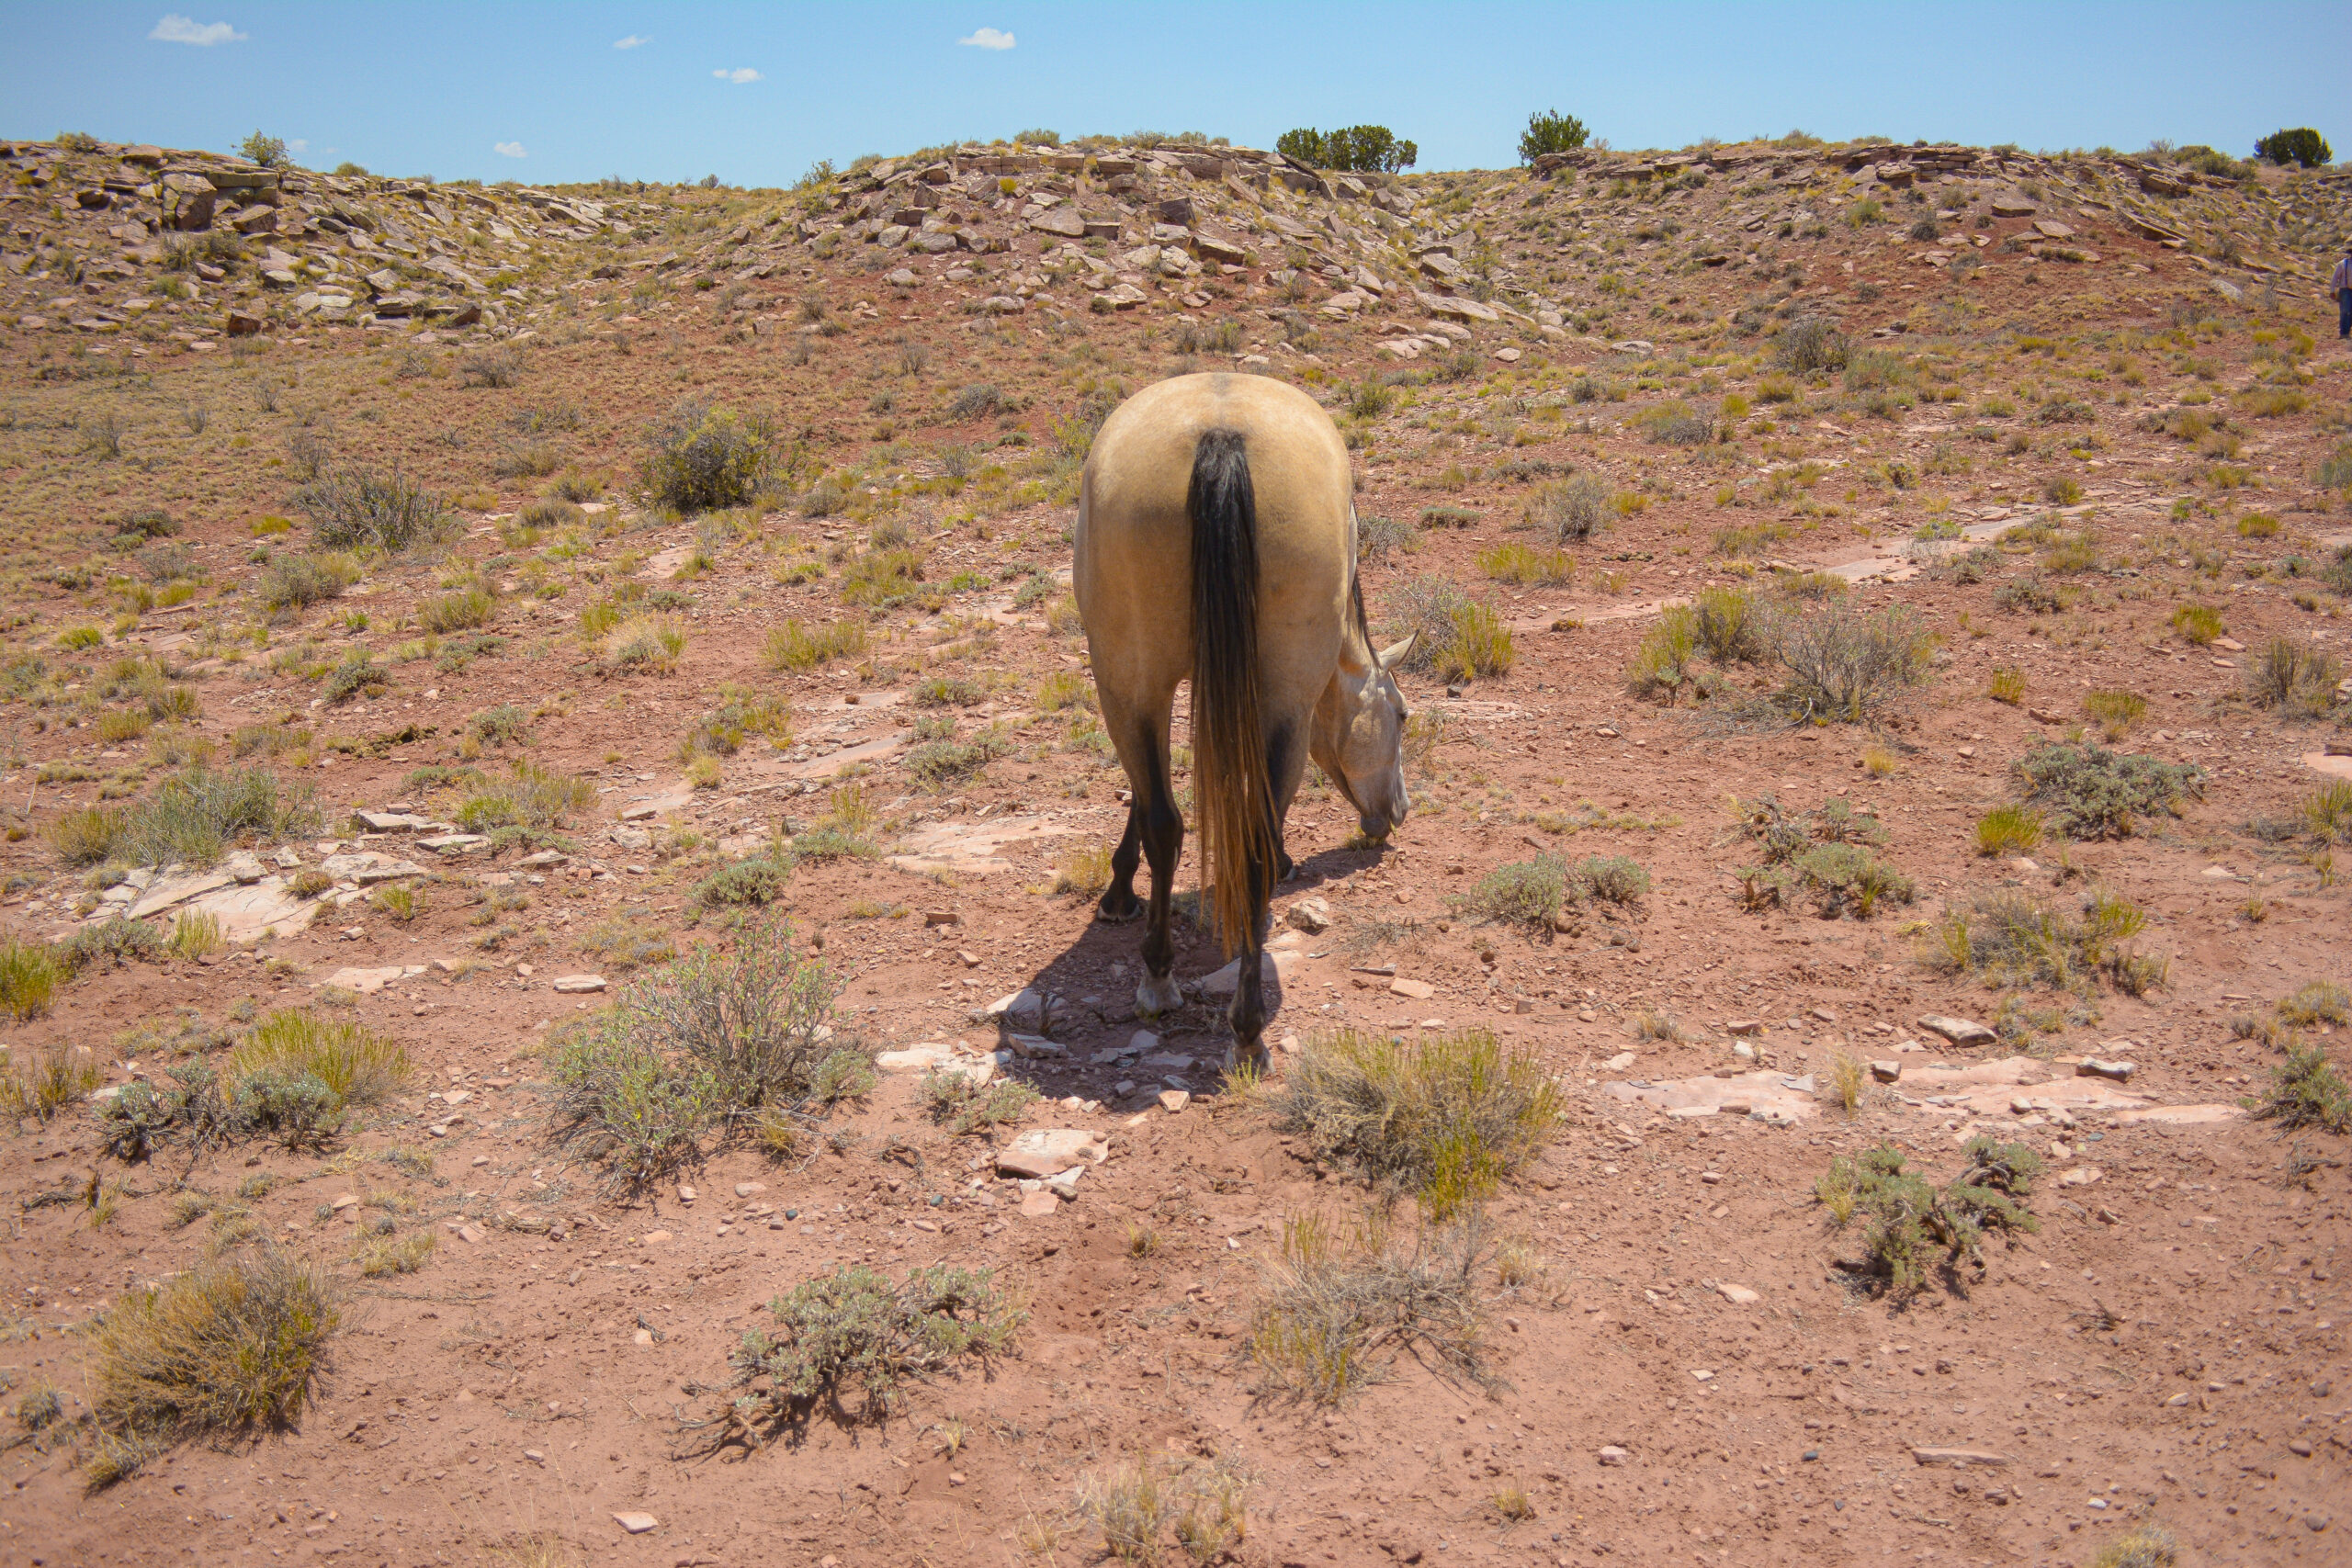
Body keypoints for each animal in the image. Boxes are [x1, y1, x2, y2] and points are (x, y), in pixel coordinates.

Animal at [1073, 372, 1416, 1071]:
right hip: (1260, 694)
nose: (1398, 809)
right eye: (1400, 714)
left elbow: (1148, 800)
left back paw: (1174, 985)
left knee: (1171, 823)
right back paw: (1242, 1022)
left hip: (1132, 682)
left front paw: (1120, 891)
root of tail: (1222, 435)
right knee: (1231, 831)